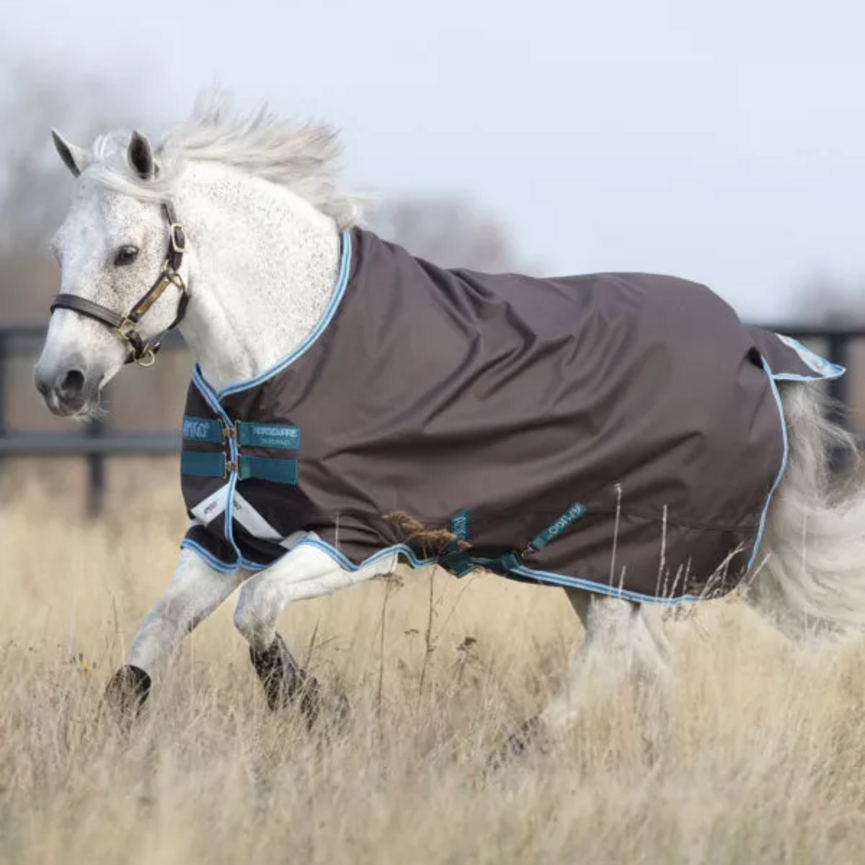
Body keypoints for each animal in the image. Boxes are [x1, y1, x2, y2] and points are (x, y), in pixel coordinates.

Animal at [34, 91, 865, 748]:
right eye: (61, 246)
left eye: (127, 251)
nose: (58, 381)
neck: (292, 347)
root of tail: (758, 348)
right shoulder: (228, 533)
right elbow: (155, 634)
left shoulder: (354, 540)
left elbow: (257, 614)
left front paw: (315, 711)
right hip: (582, 559)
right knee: (644, 660)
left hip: (616, 550)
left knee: (609, 654)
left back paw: (520, 749)